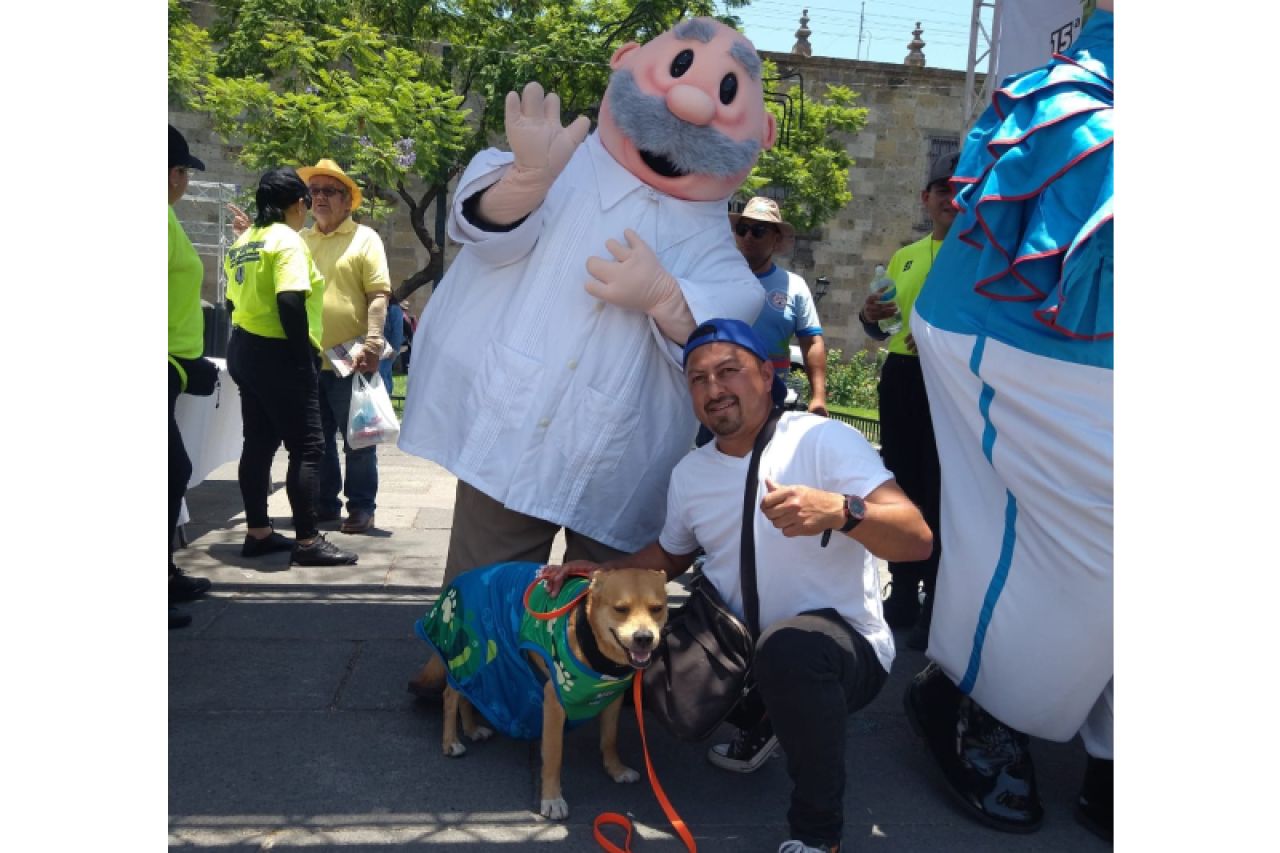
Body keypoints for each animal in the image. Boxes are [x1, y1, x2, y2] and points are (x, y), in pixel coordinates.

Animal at [412, 563, 670, 819]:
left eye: (657, 609)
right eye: (620, 609)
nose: (644, 638)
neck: (592, 641)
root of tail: (461, 579)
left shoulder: (612, 699)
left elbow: (609, 739)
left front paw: (615, 769)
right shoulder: (554, 703)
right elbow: (554, 756)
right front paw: (552, 799)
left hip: (484, 662)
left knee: (469, 693)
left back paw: (472, 729)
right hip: (469, 653)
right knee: (450, 697)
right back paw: (451, 742)